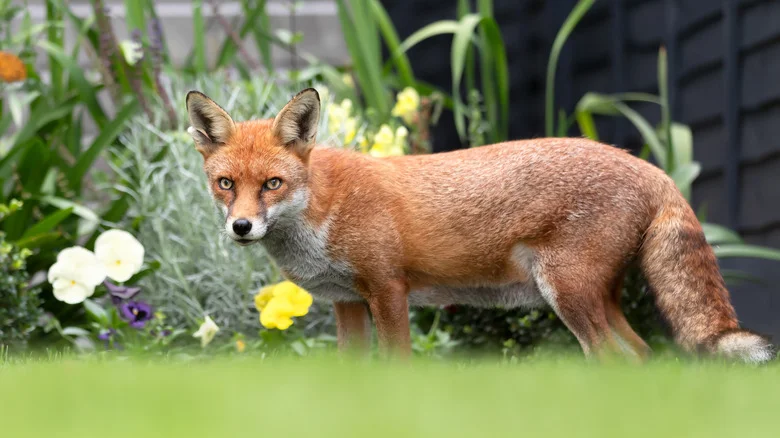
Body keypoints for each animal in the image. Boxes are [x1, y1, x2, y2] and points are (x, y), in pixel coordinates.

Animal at [185, 87, 774, 364]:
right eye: (225, 184)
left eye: (272, 184)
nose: (242, 227)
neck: (322, 210)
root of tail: (651, 167)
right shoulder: (348, 303)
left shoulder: (388, 289)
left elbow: (397, 365)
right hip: (595, 298)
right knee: (645, 355)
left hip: (568, 294)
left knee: (615, 359)